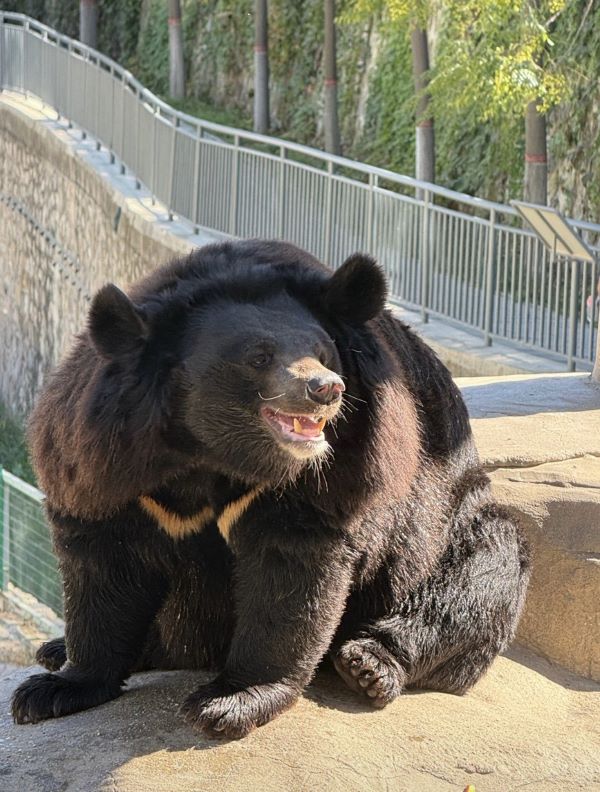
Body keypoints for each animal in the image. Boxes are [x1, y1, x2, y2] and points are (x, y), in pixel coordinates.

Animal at [12, 239, 530, 738]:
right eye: (258, 357)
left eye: (323, 351)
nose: (326, 388)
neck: (209, 454)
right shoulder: (108, 464)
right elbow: (102, 568)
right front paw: (51, 691)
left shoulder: (341, 471)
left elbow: (290, 579)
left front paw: (228, 702)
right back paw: (56, 649)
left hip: (450, 524)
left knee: (479, 576)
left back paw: (369, 664)